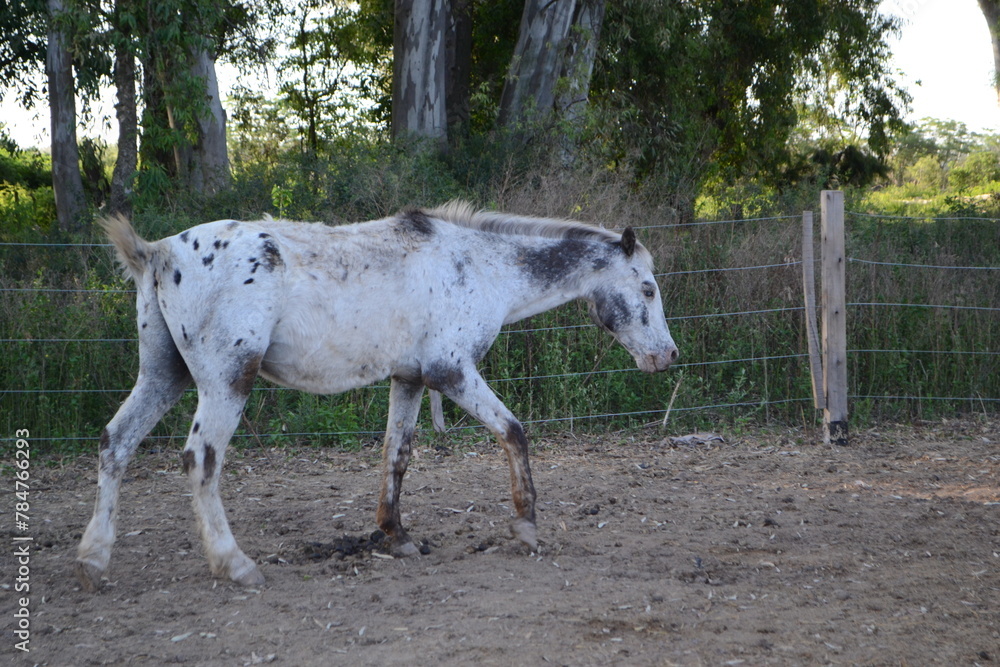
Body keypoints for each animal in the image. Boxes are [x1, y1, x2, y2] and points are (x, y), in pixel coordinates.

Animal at [76, 201, 679, 591]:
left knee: (115, 444)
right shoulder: (451, 371)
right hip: (226, 383)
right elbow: (513, 431)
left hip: (164, 377)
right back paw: (235, 565)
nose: (667, 356)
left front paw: (397, 536)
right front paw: (526, 525)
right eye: (648, 289)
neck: (481, 265)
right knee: (201, 461)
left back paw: (94, 560)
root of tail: (157, 253)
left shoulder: (409, 379)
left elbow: (397, 454)